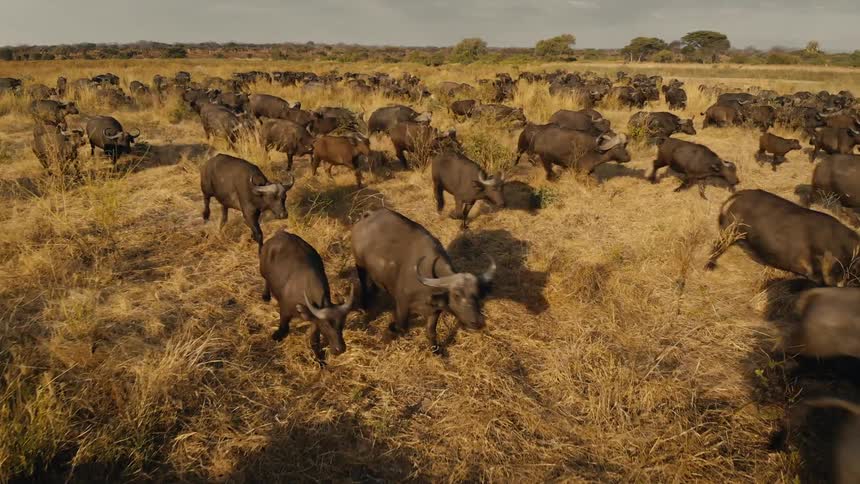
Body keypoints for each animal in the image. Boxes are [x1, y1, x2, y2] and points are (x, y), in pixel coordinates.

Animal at [259, 230, 354, 362]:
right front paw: (277, 336)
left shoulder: (315, 320)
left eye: (342, 323)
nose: (340, 349)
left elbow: (314, 340)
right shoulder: (285, 310)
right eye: (326, 325)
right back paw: (266, 295)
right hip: (262, 270)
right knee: (266, 279)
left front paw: (320, 358)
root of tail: (280, 233)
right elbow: (284, 327)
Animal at [351, 208, 495, 353]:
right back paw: (365, 306)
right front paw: (390, 332)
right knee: (364, 284)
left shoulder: (435, 311)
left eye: (477, 294)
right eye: (457, 295)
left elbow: (431, 332)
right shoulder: (402, 303)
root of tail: (368, 216)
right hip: (360, 265)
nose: (478, 322)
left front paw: (436, 350)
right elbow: (402, 326)